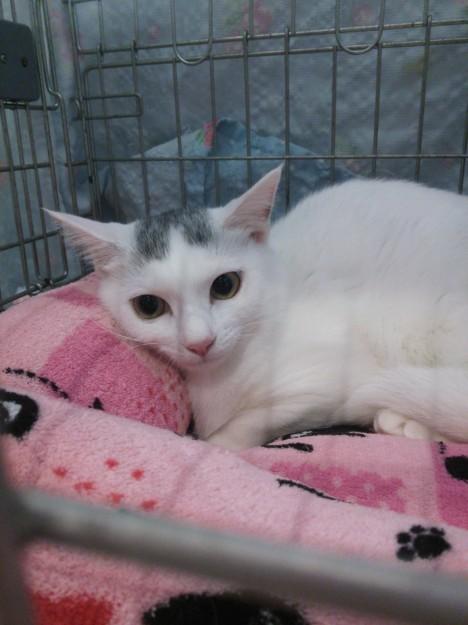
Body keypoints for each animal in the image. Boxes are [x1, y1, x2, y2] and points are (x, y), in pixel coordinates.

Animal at [47, 166, 468, 450]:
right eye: (149, 306)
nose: (200, 342)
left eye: (225, 286)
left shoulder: (328, 379)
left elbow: (251, 422)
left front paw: (213, 444)